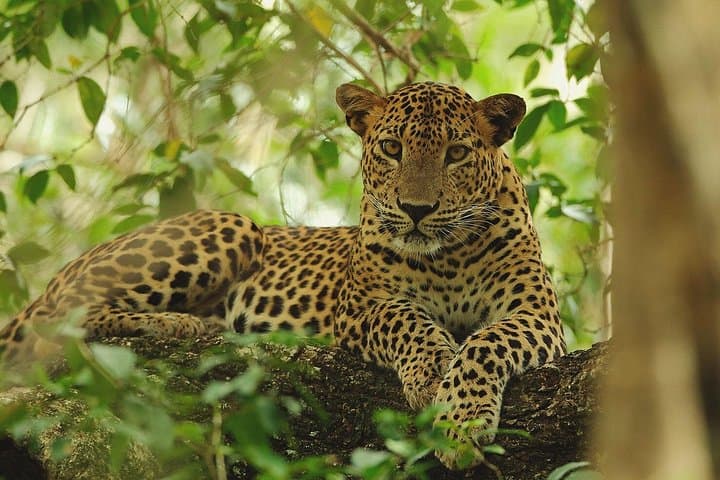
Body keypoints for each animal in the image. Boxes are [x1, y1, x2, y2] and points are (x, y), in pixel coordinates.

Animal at [0, 81, 565, 469]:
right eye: (391, 149)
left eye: (456, 153)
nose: (416, 210)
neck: (446, 256)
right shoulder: (361, 308)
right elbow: (407, 320)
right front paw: (431, 376)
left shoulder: (536, 314)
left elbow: (486, 343)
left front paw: (462, 418)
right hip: (233, 227)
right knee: (59, 320)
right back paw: (178, 324)